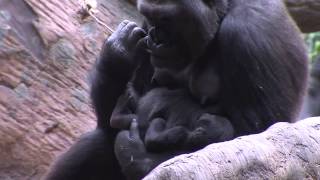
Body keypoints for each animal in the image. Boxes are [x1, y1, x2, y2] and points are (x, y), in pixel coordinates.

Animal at [45, 0, 308, 180]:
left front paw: (142, 158)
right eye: (149, 16)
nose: (155, 38)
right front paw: (118, 54)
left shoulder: (249, 35)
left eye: (167, 19)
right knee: (96, 142)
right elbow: (112, 119)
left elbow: (255, 139)